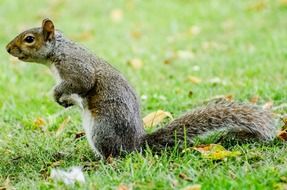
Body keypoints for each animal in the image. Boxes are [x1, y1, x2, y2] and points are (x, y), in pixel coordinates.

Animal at [5, 19, 278, 159]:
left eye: (29, 39)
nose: (7, 49)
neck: (56, 53)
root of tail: (136, 143)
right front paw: (65, 101)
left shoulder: (76, 68)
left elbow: (82, 83)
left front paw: (56, 94)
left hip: (102, 129)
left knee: (115, 155)